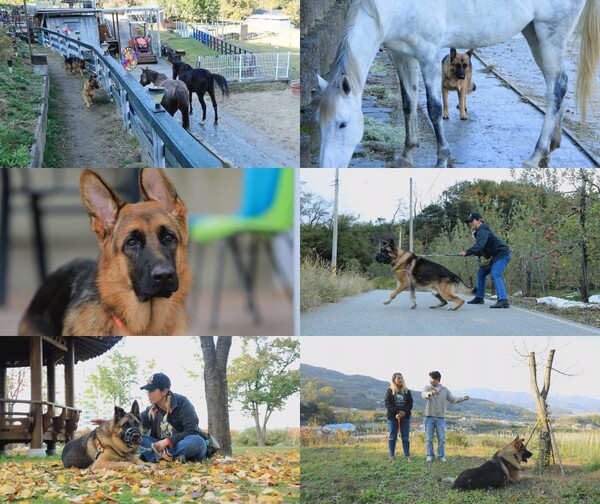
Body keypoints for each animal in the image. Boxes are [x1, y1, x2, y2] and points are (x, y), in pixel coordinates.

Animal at [316, 0, 596, 169]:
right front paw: (407, 154)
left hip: (550, 36)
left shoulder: (428, 55)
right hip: (534, 34)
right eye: (321, 123)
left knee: (557, 87)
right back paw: (550, 150)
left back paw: (535, 155)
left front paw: (442, 158)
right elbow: (408, 103)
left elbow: (434, 109)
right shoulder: (402, 55)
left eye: (343, 124)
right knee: (556, 86)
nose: (326, 168)